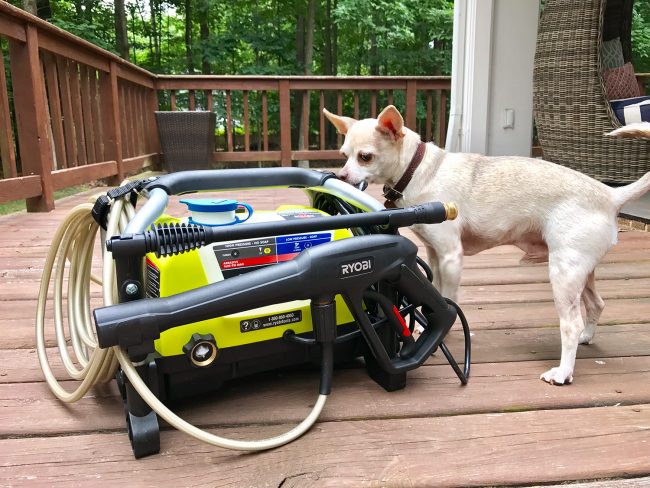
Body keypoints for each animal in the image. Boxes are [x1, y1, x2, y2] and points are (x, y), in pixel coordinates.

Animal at [322, 106, 648, 386]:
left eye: (365, 157)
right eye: (343, 156)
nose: (341, 176)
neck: (421, 170)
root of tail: (609, 195)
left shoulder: (451, 257)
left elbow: (446, 298)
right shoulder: (435, 255)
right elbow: (433, 294)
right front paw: (423, 326)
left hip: (564, 274)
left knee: (571, 324)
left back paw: (563, 371)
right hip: (582, 271)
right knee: (596, 305)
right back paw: (586, 338)